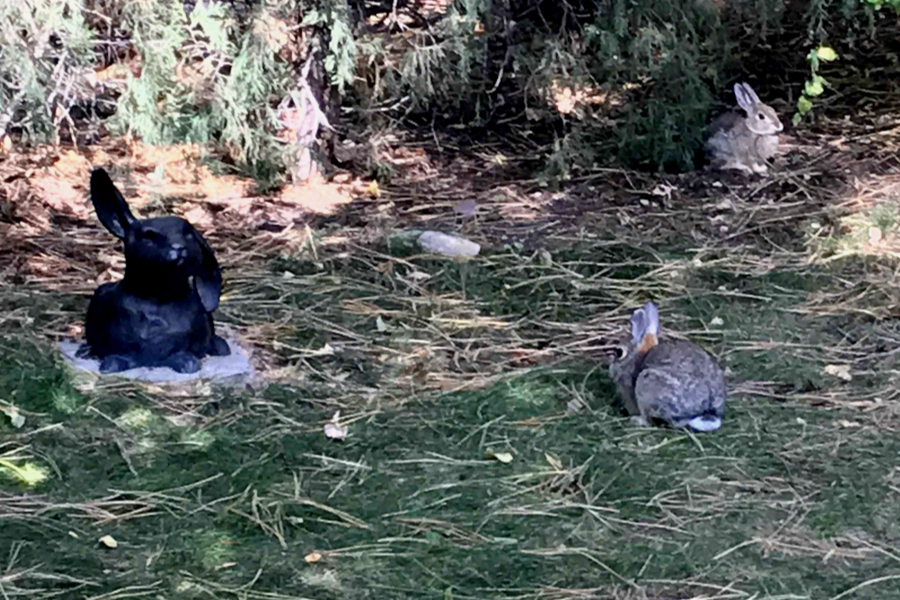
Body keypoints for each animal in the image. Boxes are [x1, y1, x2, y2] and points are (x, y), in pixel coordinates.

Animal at [608, 302, 728, 434]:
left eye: (619, 352)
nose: (610, 370)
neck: (635, 358)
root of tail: (706, 410)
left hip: (648, 384)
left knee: (649, 418)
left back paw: (637, 420)